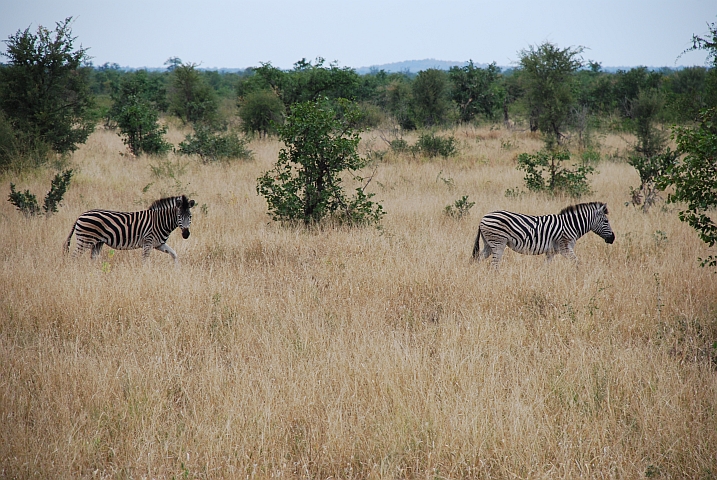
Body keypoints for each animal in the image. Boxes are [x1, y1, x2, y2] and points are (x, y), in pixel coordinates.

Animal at [65, 195, 196, 262]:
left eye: (190, 216)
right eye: (179, 217)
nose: (186, 234)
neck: (160, 221)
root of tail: (81, 215)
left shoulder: (159, 244)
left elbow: (174, 254)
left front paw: (177, 270)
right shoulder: (148, 242)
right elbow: (145, 261)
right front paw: (145, 275)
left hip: (98, 242)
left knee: (93, 258)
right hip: (85, 240)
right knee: (73, 257)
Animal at [472, 201, 615, 267]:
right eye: (606, 221)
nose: (613, 239)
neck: (571, 225)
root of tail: (483, 218)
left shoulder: (551, 251)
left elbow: (545, 267)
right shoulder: (564, 247)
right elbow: (576, 262)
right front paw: (579, 276)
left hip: (489, 244)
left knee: (477, 259)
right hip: (498, 243)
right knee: (494, 265)